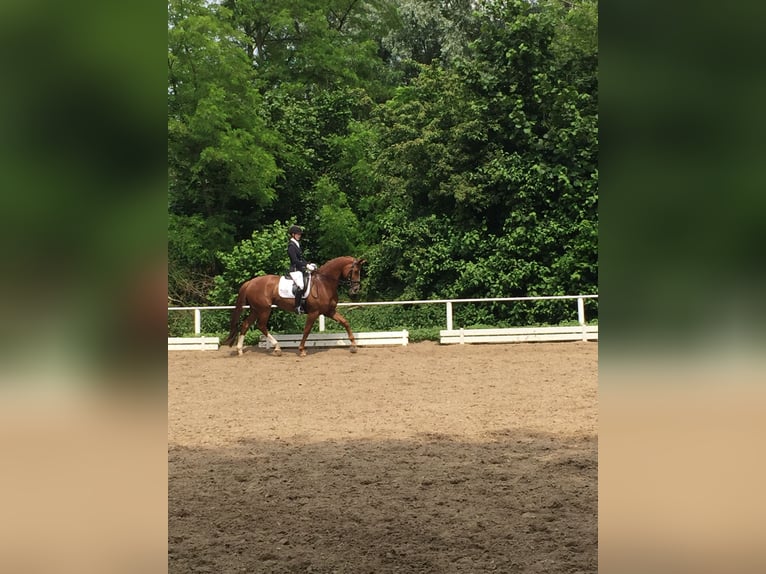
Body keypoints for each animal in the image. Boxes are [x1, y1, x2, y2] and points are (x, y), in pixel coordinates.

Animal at [220, 258, 368, 358]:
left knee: (245, 324)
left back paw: (240, 350)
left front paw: (354, 346)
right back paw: (277, 348)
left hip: (256, 309)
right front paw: (301, 350)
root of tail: (250, 282)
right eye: (355, 271)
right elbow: (307, 330)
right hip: (264, 309)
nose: (355, 289)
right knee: (261, 325)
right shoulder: (314, 313)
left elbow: (345, 322)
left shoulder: (329, 311)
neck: (324, 283)